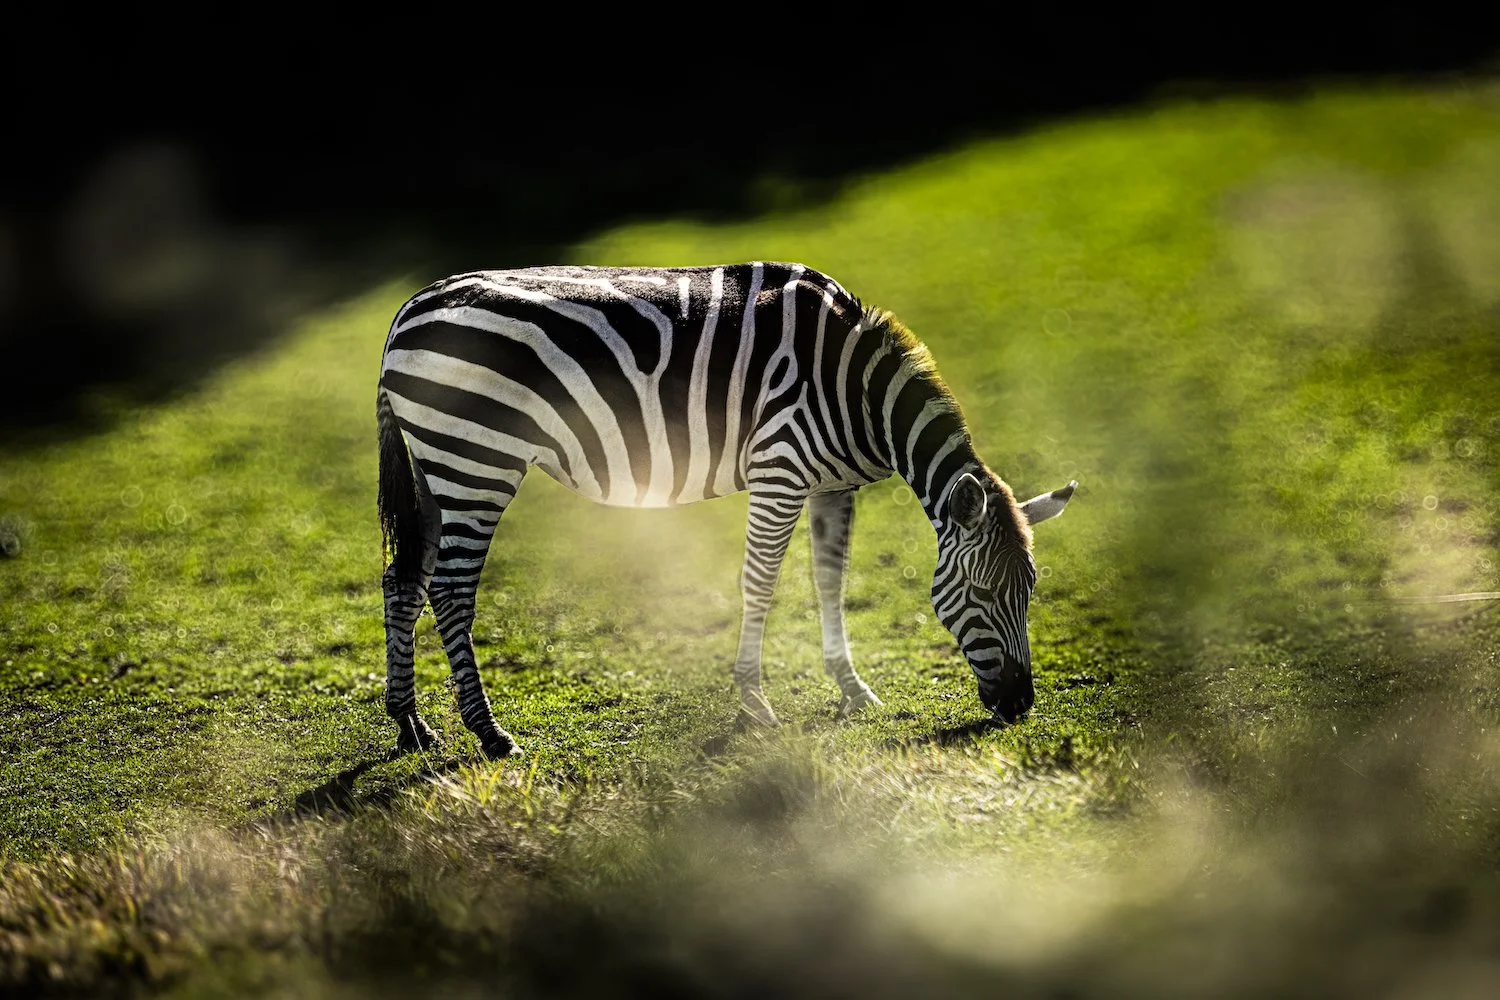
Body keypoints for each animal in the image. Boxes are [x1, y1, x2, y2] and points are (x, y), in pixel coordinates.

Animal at [376, 263, 1075, 759]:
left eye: (1029, 590)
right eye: (981, 592)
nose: (1019, 705)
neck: (855, 390)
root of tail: (409, 307)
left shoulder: (831, 486)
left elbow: (831, 582)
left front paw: (851, 690)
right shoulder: (780, 469)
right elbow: (760, 583)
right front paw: (753, 703)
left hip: (437, 466)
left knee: (403, 580)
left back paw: (411, 725)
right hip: (477, 462)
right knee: (450, 589)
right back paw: (488, 734)